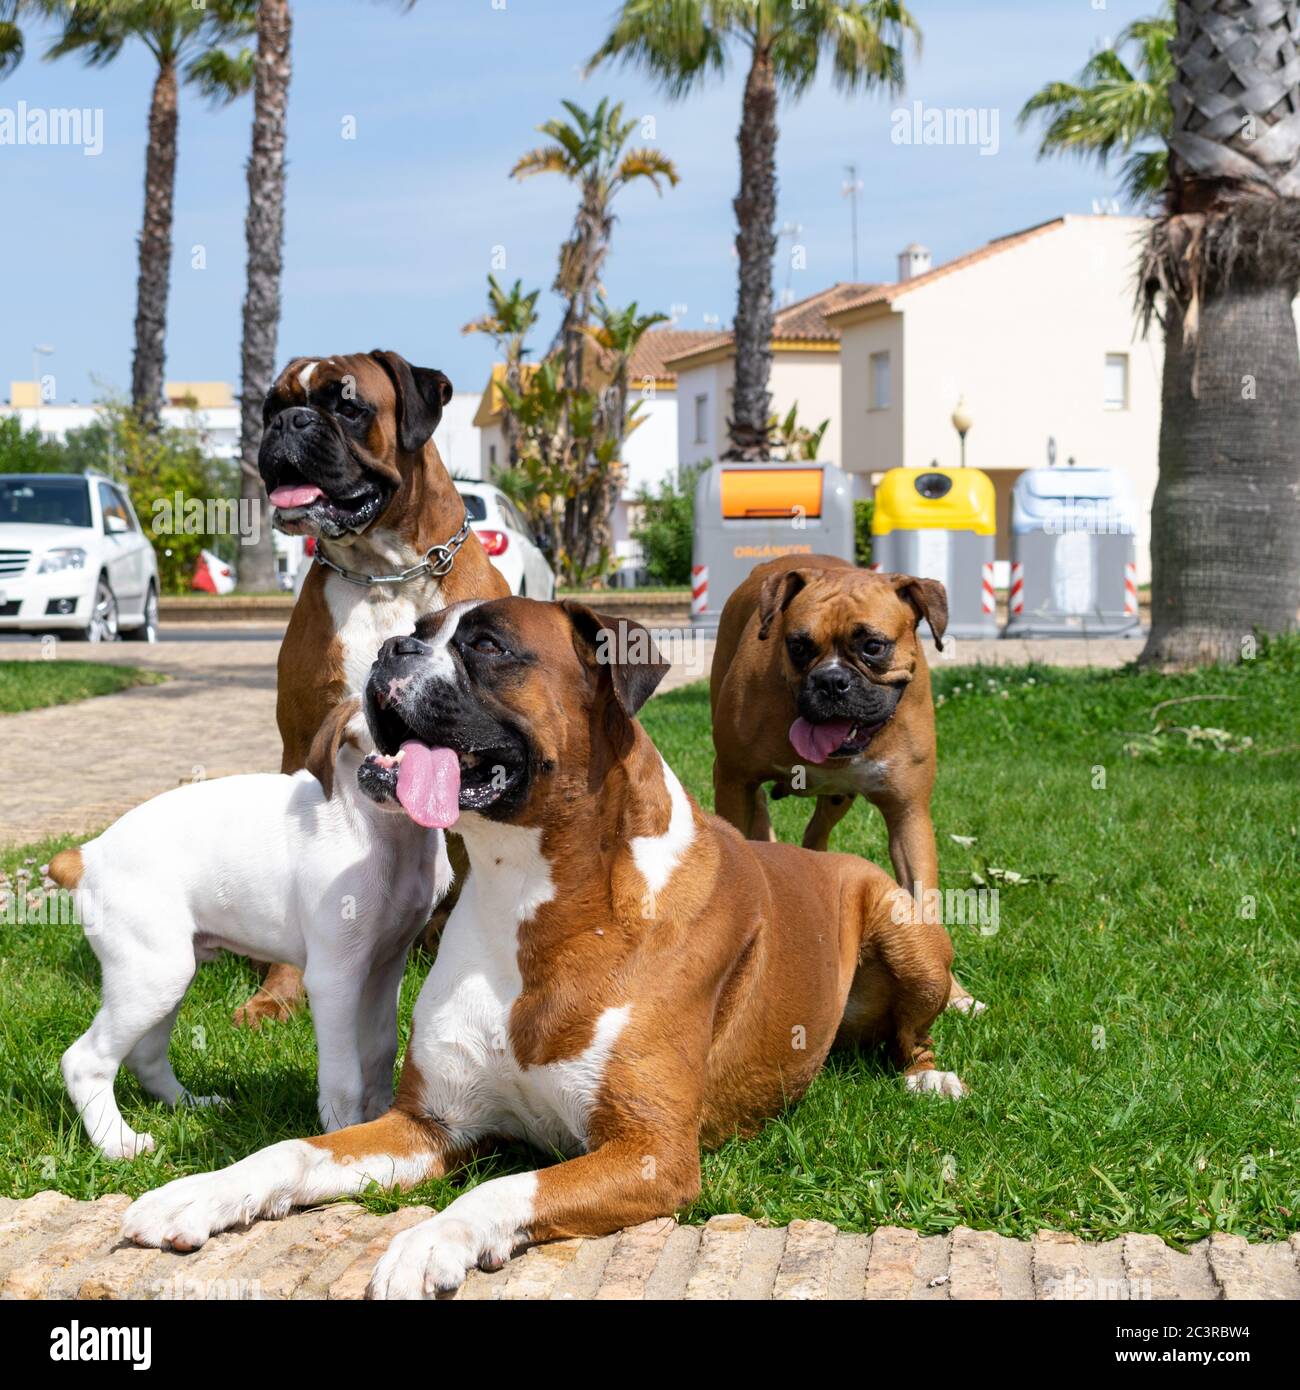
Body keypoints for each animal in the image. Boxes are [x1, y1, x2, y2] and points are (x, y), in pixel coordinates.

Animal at [53, 695, 450, 1162]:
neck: (384, 833)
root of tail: (87, 854)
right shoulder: (335, 977)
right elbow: (343, 1076)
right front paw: (342, 1134)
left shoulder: (386, 967)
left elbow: (379, 1052)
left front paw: (380, 1117)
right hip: (153, 976)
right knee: (85, 1061)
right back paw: (118, 1143)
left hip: (167, 975)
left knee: (145, 1056)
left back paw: (190, 1104)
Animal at [122, 600, 962, 1301]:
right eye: (420, 630)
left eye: (488, 646)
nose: (390, 648)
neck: (526, 892)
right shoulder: (426, 1126)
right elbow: (294, 1150)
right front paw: (199, 1192)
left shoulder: (649, 1153)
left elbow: (508, 1185)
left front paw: (429, 1240)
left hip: (906, 926)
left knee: (913, 1032)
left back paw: (930, 1079)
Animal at [236, 350, 511, 1023]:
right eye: (271, 406)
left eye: (349, 406)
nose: (289, 423)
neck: (386, 574)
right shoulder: (302, 740)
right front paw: (278, 993)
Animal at [706, 550, 978, 1011]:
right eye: (798, 646)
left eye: (873, 646)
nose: (831, 681)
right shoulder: (733, 781)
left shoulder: (909, 815)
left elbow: (924, 904)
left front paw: (955, 994)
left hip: (838, 799)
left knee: (815, 836)